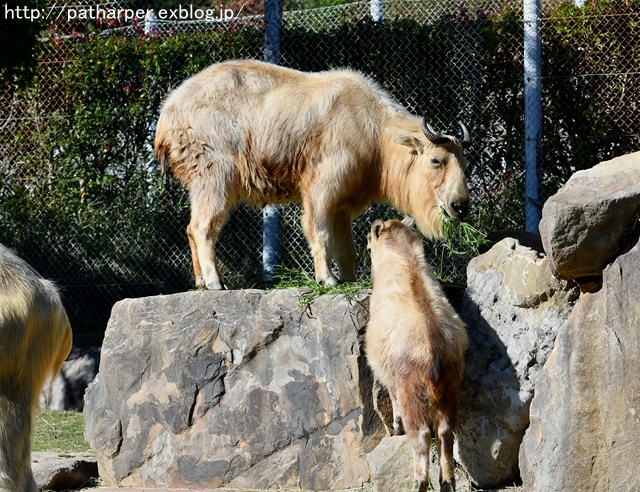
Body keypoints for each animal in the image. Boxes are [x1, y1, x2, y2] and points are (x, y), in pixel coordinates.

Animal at [364, 218, 470, 492]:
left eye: (368, 246)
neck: (402, 253)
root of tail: (435, 351)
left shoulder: (390, 376)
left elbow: (391, 398)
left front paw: (396, 425)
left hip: (413, 394)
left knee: (421, 435)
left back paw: (419, 482)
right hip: (451, 389)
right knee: (445, 432)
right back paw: (447, 481)